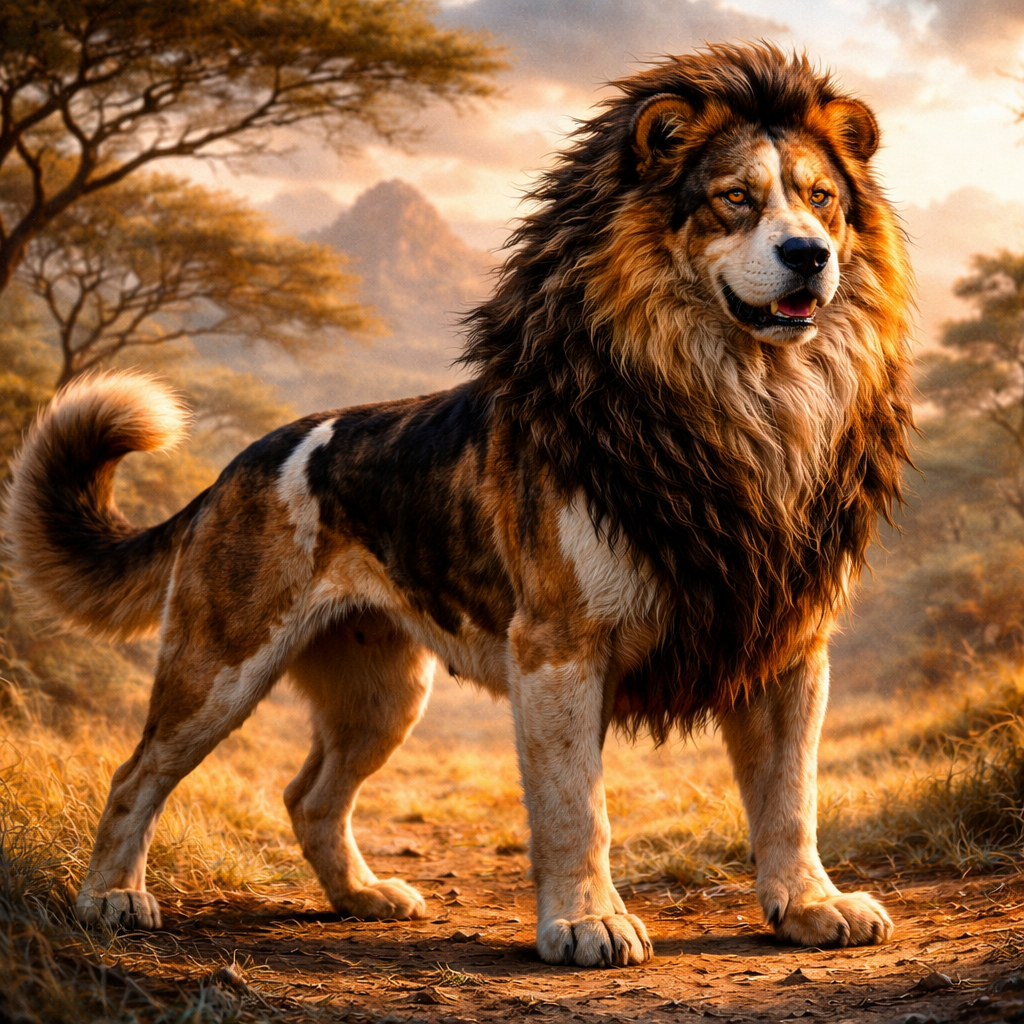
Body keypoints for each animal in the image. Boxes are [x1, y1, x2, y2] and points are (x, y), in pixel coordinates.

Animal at [4, 43, 912, 967]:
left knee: (309, 794)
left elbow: (791, 798)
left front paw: (813, 907)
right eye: (734, 198)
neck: (751, 399)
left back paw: (364, 899)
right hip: (221, 665)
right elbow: (576, 807)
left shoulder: (788, 642)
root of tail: (235, 467)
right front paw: (587, 923)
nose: (808, 254)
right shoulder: (556, 646)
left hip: (383, 694)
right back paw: (110, 900)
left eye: (822, 199)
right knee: (137, 773)